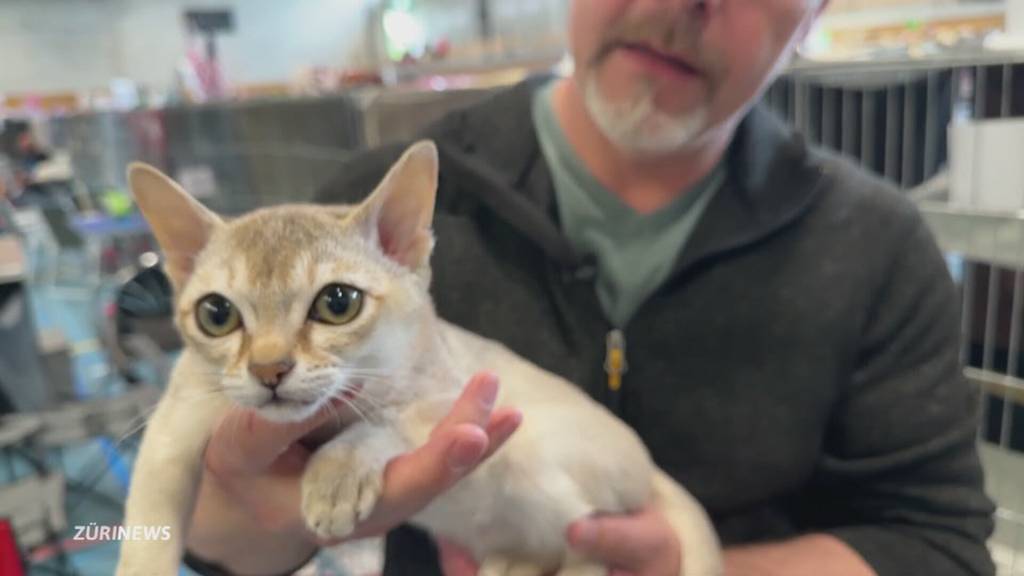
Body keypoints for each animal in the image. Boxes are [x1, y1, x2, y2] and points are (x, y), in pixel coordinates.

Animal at [114, 140, 720, 573]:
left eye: (338, 303)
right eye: (217, 314)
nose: (269, 370)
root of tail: (649, 465)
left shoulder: (455, 395)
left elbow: (386, 419)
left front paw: (335, 473)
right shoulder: (173, 426)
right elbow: (146, 524)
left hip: (536, 462)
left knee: (586, 543)